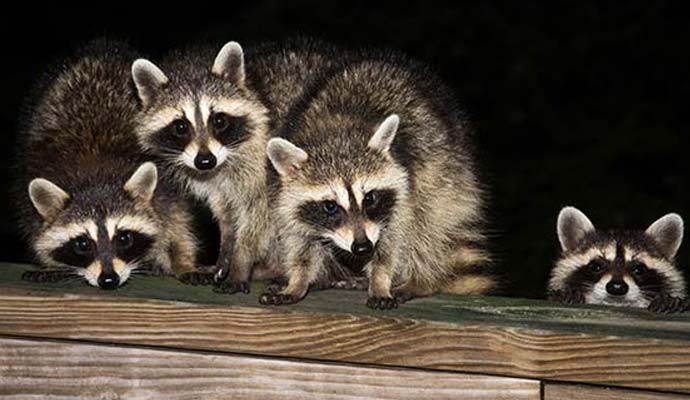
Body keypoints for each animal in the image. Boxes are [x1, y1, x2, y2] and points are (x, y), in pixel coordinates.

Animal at [14, 40, 198, 289]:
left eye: (124, 238)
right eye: (82, 244)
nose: (109, 279)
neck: (95, 173)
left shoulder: (166, 186)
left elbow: (177, 222)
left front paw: (182, 261)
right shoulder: (35, 174)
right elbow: (38, 231)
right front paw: (50, 263)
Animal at [131, 39, 340, 293]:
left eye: (219, 121)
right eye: (180, 127)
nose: (205, 160)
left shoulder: (264, 163)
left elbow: (260, 216)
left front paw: (241, 262)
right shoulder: (213, 181)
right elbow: (226, 213)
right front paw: (226, 252)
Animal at [262, 53, 495, 309]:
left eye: (370, 198)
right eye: (330, 206)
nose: (362, 247)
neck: (337, 135)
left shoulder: (405, 188)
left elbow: (392, 240)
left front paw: (381, 280)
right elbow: (300, 240)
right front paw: (298, 281)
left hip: (445, 173)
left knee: (429, 226)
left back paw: (420, 281)